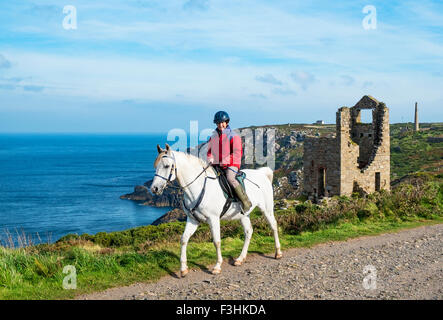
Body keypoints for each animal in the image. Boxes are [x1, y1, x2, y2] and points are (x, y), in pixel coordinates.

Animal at [151, 144, 282, 276]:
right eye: (156, 166)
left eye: (167, 166)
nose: (154, 189)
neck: (198, 187)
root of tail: (262, 173)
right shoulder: (193, 220)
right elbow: (184, 239)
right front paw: (183, 269)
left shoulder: (213, 219)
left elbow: (216, 241)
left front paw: (217, 266)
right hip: (244, 215)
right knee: (248, 231)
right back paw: (240, 259)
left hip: (266, 209)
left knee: (273, 226)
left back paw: (278, 252)